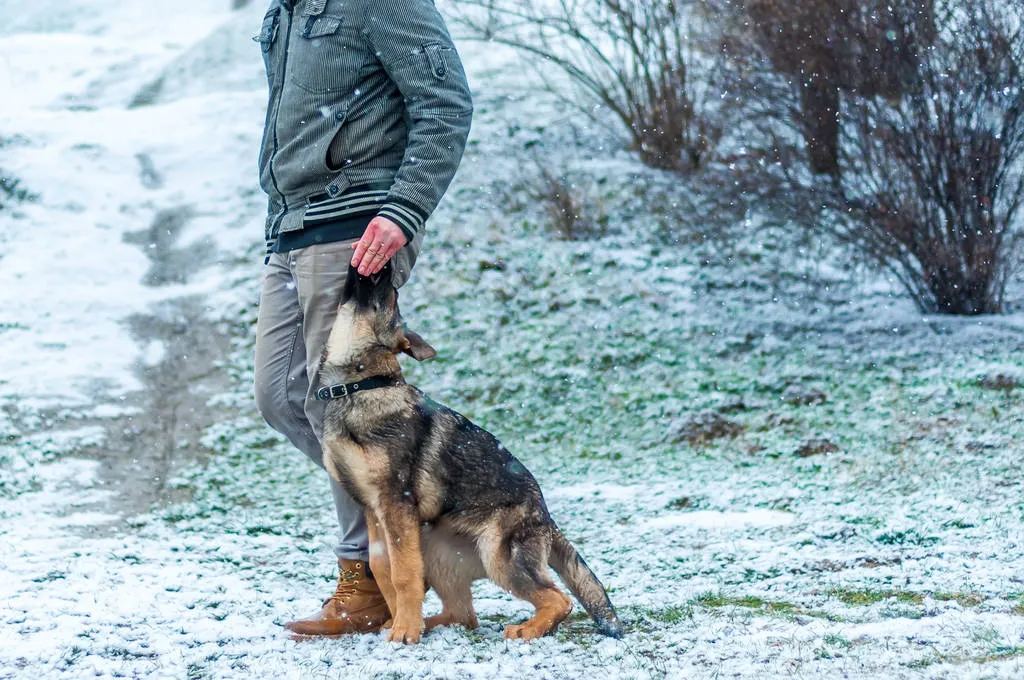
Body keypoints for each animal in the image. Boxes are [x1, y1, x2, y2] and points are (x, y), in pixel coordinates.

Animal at [317, 262, 622, 647]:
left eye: (389, 295)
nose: (384, 265)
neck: (358, 386)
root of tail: (546, 518)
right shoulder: (375, 511)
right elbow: (384, 569)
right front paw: (399, 622)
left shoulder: (395, 503)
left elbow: (403, 575)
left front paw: (404, 631)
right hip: (434, 548)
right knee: (465, 615)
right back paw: (430, 623)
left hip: (498, 557)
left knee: (559, 599)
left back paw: (526, 630)